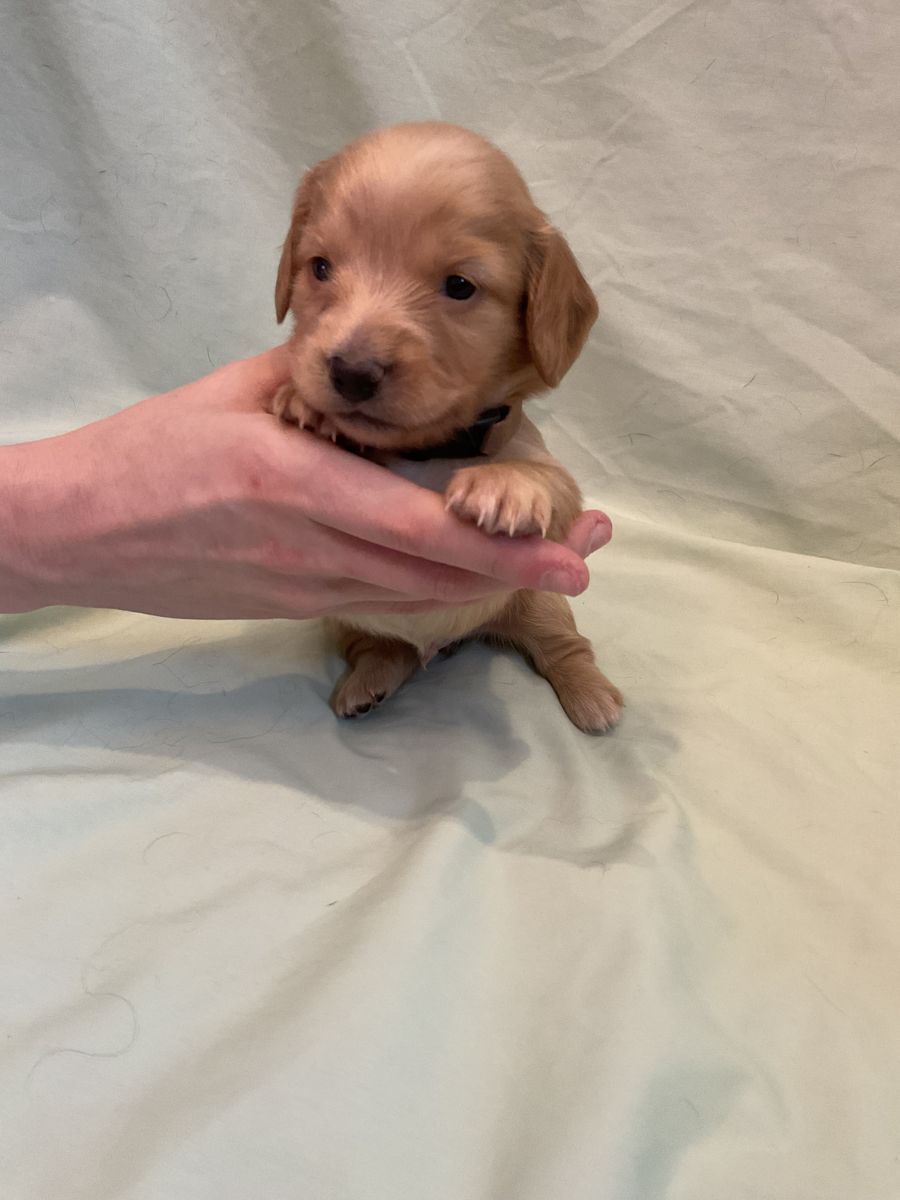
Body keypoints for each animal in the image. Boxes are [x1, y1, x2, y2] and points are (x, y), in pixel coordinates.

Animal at [271, 122, 622, 732]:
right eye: (320, 267)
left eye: (459, 286)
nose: (351, 372)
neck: (429, 451)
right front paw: (303, 403)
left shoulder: (546, 468)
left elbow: (546, 478)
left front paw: (503, 487)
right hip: (340, 617)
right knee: (382, 647)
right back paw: (368, 681)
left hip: (541, 600)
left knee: (562, 646)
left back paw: (592, 696)